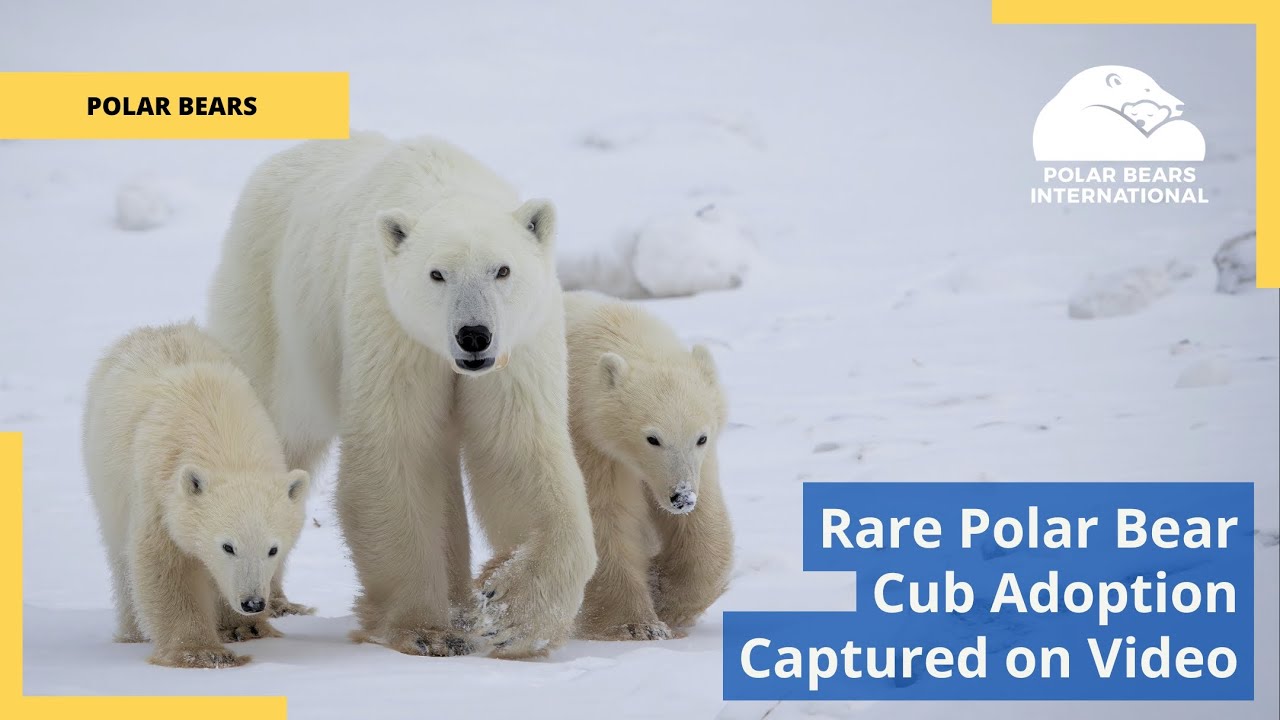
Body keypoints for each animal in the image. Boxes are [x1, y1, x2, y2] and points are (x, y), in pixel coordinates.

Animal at [82, 322, 310, 668]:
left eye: (273, 549)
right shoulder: (160, 491)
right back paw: (133, 633)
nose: (253, 602)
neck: (224, 438)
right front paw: (201, 652)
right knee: (121, 557)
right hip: (106, 480)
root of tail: (159, 329)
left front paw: (245, 628)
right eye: (228, 546)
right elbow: (166, 565)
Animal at [206, 132, 597, 658]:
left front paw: (512, 615)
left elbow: (516, 451)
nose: (474, 335)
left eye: (502, 270)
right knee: (271, 432)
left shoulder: (519, 346)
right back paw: (245, 614)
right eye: (437, 274)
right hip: (269, 308)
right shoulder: (392, 329)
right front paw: (425, 631)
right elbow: (398, 453)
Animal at [563, 291, 734, 640]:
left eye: (701, 437)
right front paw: (638, 625)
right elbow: (607, 518)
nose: (681, 497)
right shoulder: (592, 442)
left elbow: (703, 525)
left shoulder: (701, 464)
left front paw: (666, 595)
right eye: (652, 438)